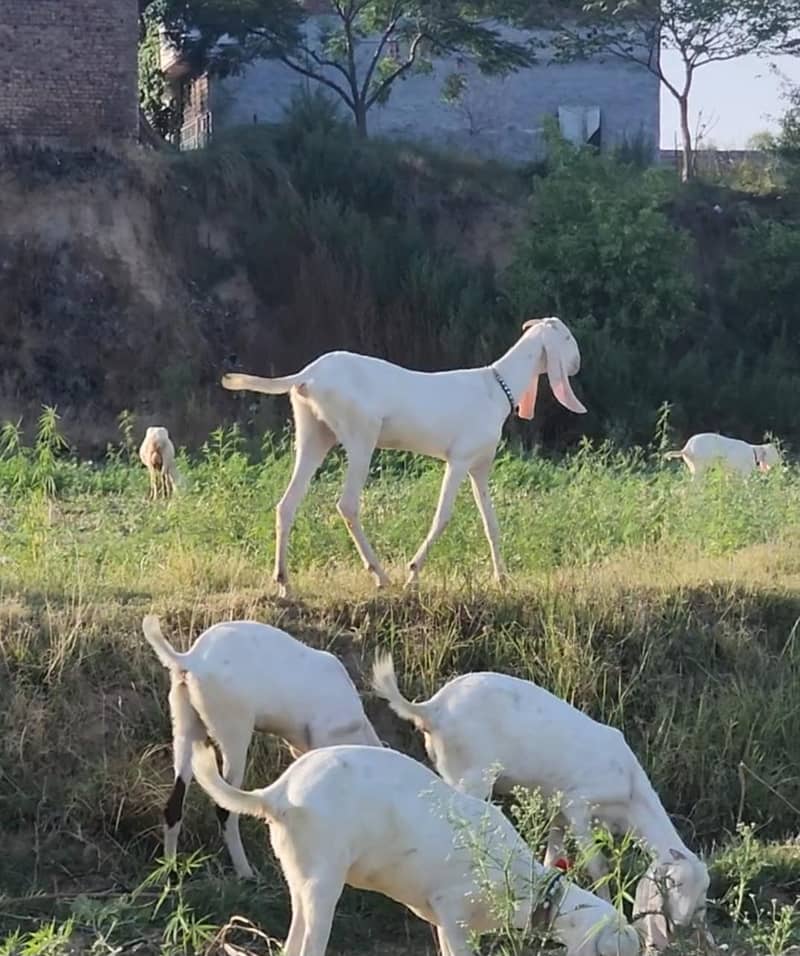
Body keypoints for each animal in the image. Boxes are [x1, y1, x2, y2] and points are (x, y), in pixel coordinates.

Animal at [142, 615, 381, 879]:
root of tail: (191, 659)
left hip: (186, 729)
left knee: (173, 806)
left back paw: (171, 872)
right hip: (234, 737)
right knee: (223, 808)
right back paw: (245, 872)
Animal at [191, 741, 640, 956]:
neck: (526, 883)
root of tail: (278, 793)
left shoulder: (444, 925)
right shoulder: (455, 917)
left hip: (300, 880)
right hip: (323, 885)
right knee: (308, 946)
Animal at [221, 317, 587, 595]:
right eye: (568, 336)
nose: (576, 364)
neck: (496, 386)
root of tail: (307, 375)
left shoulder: (479, 467)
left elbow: (491, 522)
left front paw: (503, 579)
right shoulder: (459, 460)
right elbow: (444, 515)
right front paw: (413, 572)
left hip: (313, 432)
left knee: (287, 503)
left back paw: (284, 582)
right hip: (361, 435)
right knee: (347, 504)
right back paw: (381, 576)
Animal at [372, 656, 711, 951]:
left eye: (703, 891)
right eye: (675, 883)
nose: (682, 924)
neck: (631, 793)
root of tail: (433, 709)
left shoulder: (558, 811)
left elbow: (554, 856)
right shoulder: (578, 804)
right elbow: (598, 865)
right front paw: (609, 903)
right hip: (472, 775)